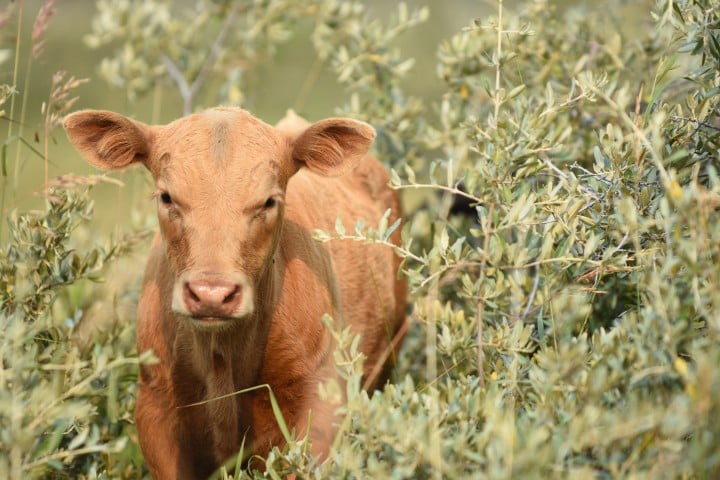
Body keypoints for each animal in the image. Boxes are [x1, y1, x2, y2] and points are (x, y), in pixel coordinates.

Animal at [63, 107, 407, 479]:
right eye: (166, 197)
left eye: (269, 201)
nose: (211, 294)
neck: (221, 359)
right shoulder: (156, 411)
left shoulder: (316, 406)